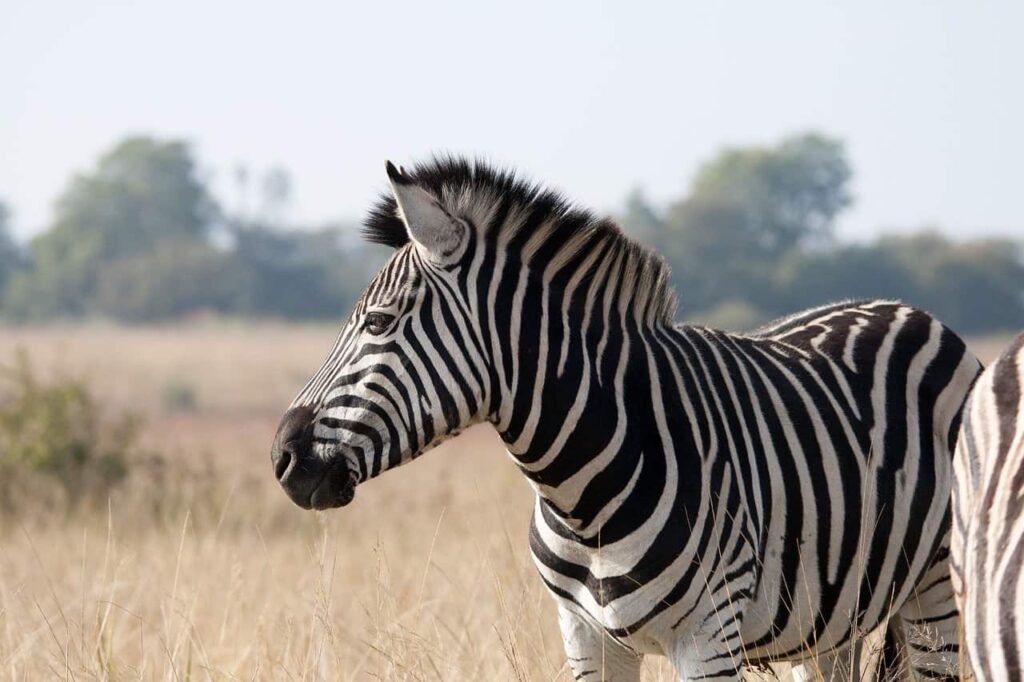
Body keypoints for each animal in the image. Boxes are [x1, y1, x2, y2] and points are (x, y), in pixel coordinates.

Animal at [270, 157, 981, 680]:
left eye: (377, 323)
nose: (282, 457)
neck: (583, 494)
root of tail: (909, 310)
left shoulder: (709, 639)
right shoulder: (585, 636)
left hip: (936, 594)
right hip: (830, 619)